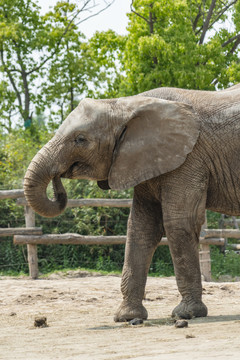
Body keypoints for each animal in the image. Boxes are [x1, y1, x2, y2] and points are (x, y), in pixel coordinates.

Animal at [23, 83, 240, 320]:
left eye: (80, 139)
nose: (58, 178)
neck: (126, 105)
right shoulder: (143, 159)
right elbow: (141, 226)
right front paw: (128, 317)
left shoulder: (189, 158)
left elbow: (178, 223)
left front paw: (186, 314)